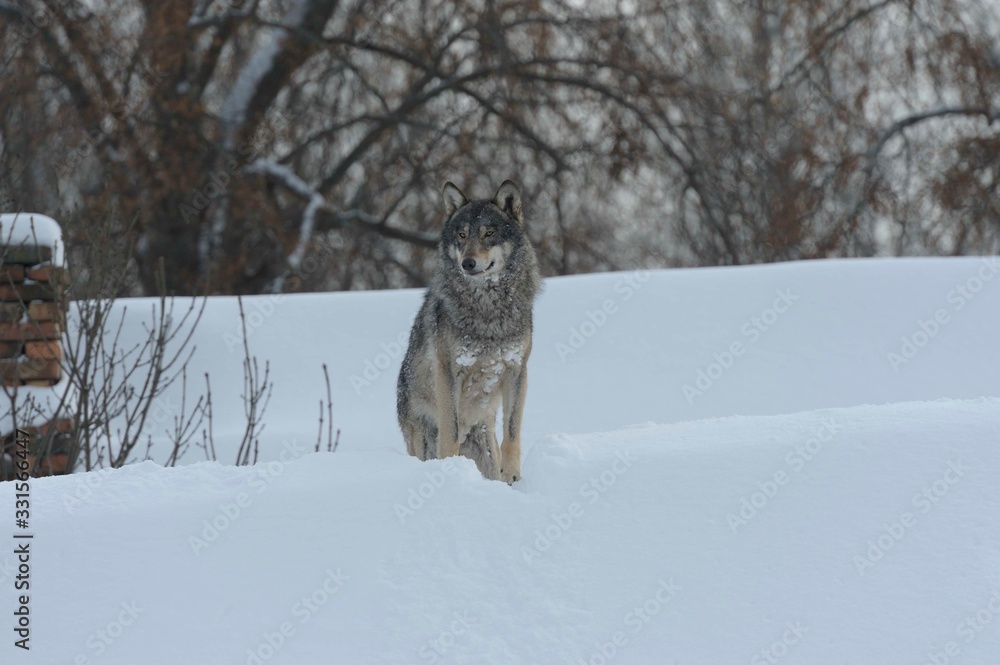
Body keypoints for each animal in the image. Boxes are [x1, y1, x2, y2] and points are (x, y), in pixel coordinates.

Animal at [397, 180, 541, 483]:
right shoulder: (449, 371)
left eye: (489, 233)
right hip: (421, 438)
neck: (488, 309)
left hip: (484, 440)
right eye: (462, 235)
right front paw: (448, 472)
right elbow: (449, 433)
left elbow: (512, 432)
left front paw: (512, 475)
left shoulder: (517, 370)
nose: (468, 263)